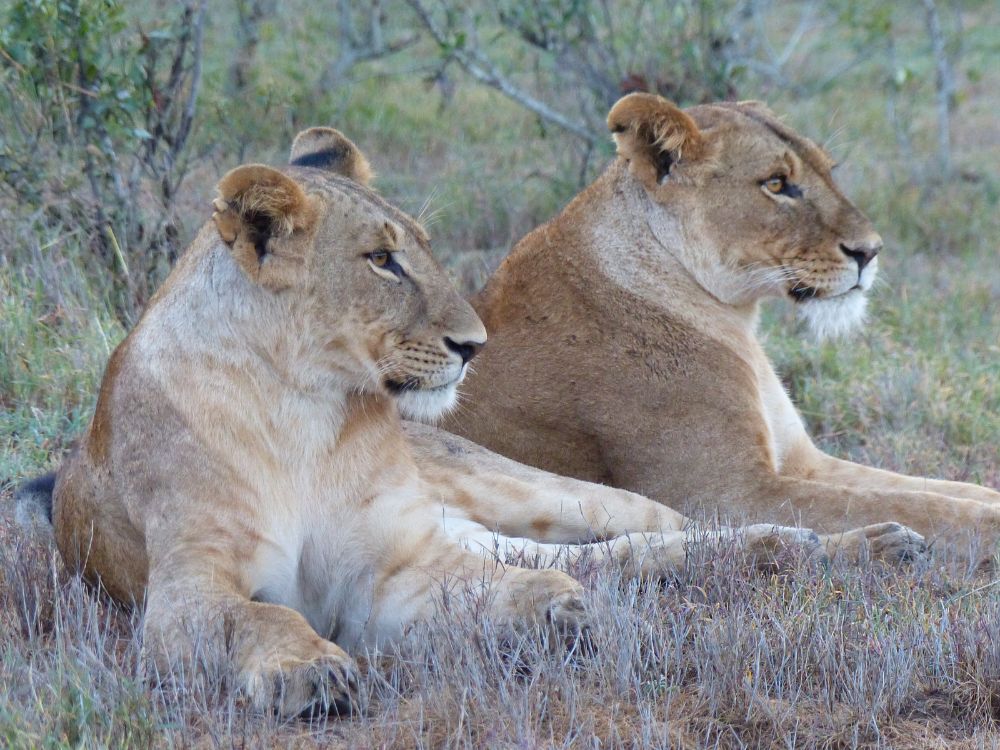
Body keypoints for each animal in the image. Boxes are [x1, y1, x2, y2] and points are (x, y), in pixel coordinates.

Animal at [15, 126, 924, 720]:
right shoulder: (183, 591)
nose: (473, 345)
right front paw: (308, 670)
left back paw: (849, 546)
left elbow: (511, 587)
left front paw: (559, 615)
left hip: (533, 492)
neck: (306, 410)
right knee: (615, 556)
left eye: (418, 246)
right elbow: (259, 614)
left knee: (665, 527)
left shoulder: (394, 567)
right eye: (381, 260)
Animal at [444, 94, 1000, 560]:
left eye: (829, 170)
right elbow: (924, 507)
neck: (736, 319)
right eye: (775, 183)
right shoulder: (730, 494)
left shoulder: (804, 463)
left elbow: (944, 490)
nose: (871, 250)